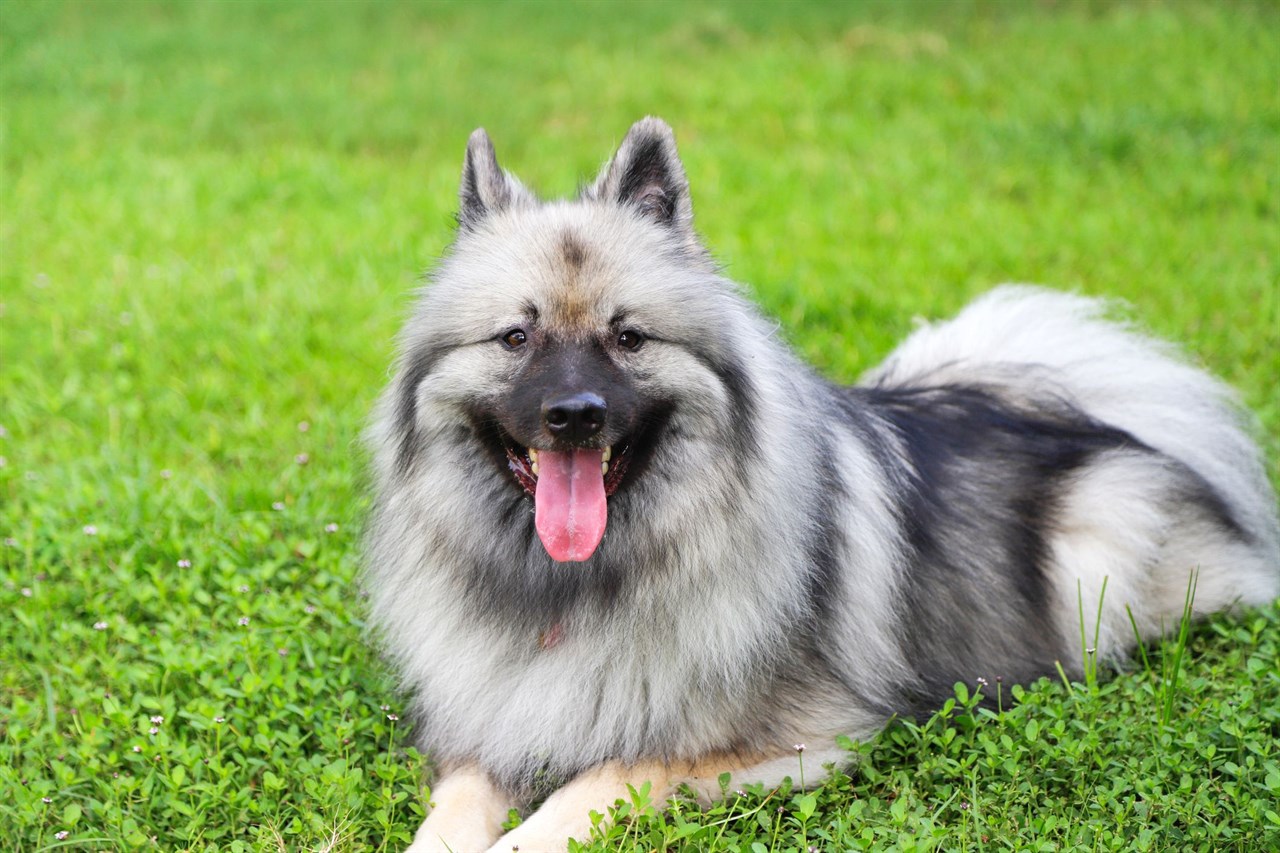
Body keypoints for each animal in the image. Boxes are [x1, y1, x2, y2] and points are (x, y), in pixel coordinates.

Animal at [363, 116, 1280, 845]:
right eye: (516, 338)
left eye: (629, 338)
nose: (574, 415)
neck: (570, 585)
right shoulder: (486, 724)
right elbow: (454, 809)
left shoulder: (780, 739)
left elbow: (599, 780)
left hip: (1100, 563)